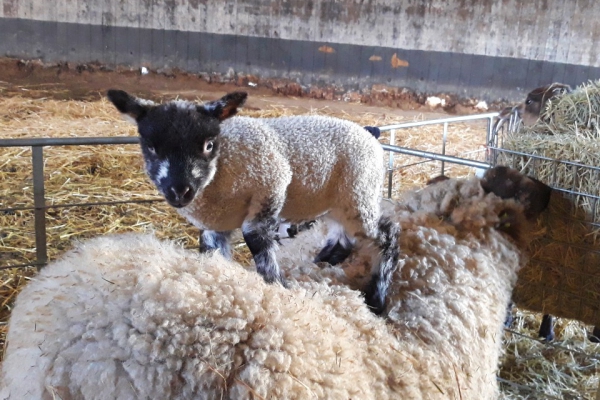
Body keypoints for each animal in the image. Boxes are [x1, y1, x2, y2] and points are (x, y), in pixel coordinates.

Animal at [108, 89, 398, 314]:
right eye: (151, 147)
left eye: (209, 145)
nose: (179, 191)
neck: (223, 165)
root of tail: (369, 132)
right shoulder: (216, 225)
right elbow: (212, 251)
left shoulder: (272, 185)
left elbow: (258, 241)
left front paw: (277, 285)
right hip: (339, 200)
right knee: (343, 233)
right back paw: (325, 259)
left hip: (360, 192)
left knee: (388, 233)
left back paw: (377, 297)